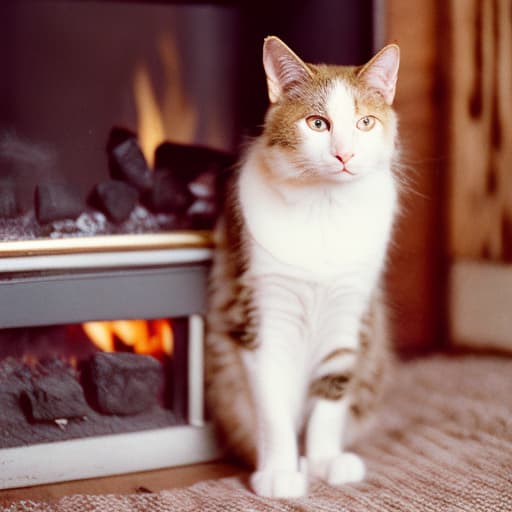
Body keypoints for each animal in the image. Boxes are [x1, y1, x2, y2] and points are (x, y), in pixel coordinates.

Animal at [204, 34, 400, 498]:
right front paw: (279, 471)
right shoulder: (261, 311)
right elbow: (273, 410)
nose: (344, 154)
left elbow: (331, 399)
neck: (324, 208)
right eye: (317, 124)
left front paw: (325, 460)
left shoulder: (350, 314)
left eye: (366, 123)